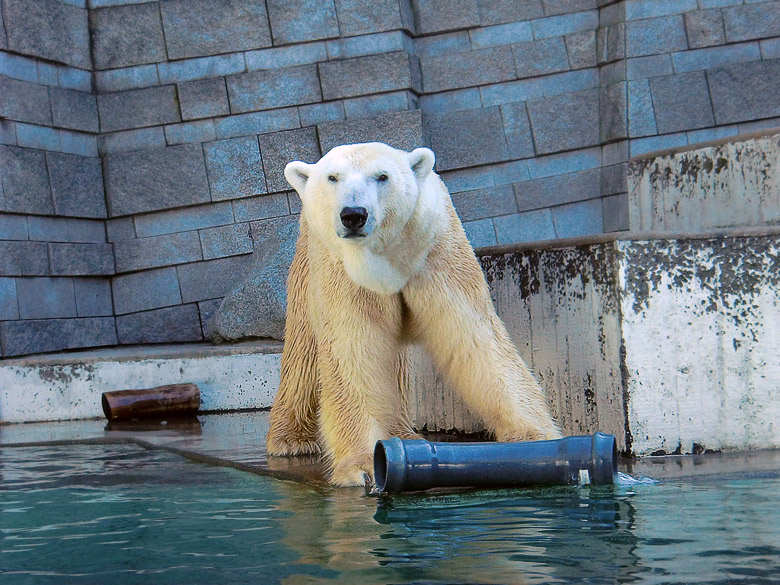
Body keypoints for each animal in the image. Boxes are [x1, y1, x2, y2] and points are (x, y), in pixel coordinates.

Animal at [268, 144, 560, 486]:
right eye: (332, 177)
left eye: (382, 176)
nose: (353, 215)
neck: (387, 261)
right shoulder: (344, 273)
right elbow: (352, 350)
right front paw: (364, 467)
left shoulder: (437, 255)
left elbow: (475, 339)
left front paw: (535, 435)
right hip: (308, 262)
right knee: (304, 351)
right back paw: (291, 440)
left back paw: (402, 435)